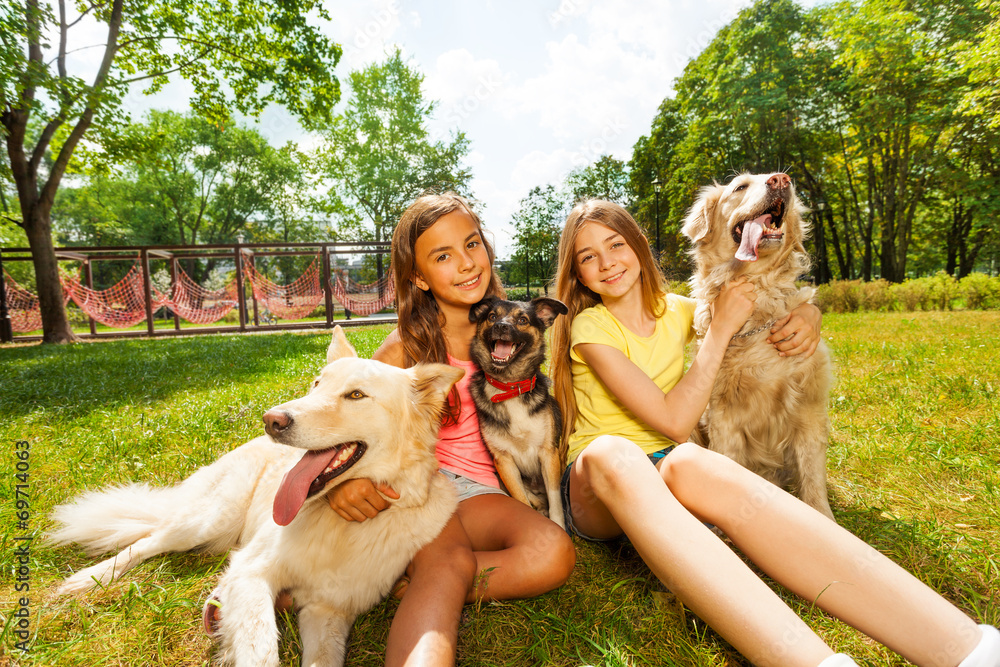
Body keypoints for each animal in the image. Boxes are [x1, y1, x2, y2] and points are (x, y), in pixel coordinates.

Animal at [48, 328, 462, 667]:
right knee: (147, 541)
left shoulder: (327, 611)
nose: (271, 420)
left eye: (356, 395)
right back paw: (88, 580)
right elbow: (260, 648)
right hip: (208, 520)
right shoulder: (252, 572)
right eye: (316, 384)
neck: (342, 524)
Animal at [470, 294, 568, 528]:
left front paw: (559, 526)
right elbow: (521, 499)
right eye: (492, 316)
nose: (501, 326)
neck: (510, 388)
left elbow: (556, 504)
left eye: (523, 320)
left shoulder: (549, 455)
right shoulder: (504, 461)